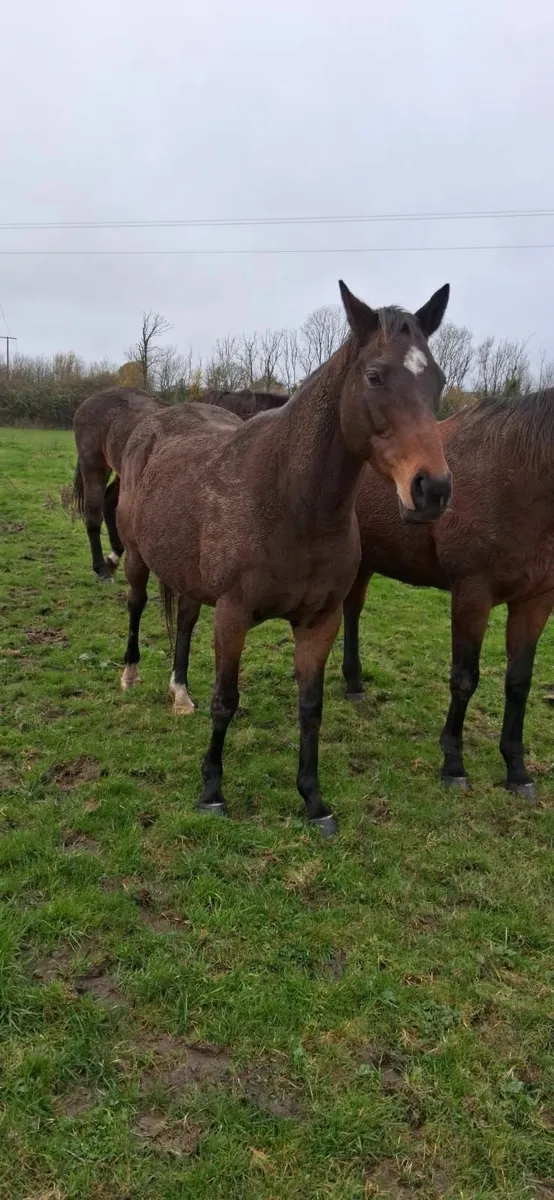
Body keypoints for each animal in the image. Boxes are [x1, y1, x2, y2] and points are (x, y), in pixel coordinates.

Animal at [72, 386, 288, 579]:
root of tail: (89, 401)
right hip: (94, 466)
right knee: (93, 515)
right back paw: (101, 568)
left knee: (109, 502)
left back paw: (114, 557)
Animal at [115, 279, 452, 835]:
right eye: (375, 376)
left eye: (438, 381)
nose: (432, 490)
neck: (290, 502)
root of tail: (153, 422)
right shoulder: (232, 616)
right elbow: (226, 701)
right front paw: (211, 792)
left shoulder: (320, 621)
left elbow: (311, 708)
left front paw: (313, 800)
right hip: (138, 559)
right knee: (137, 605)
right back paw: (129, 674)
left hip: (189, 576)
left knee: (184, 621)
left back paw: (179, 692)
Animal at [341, 387, 554, 803]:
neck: (519, 478)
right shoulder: (472, 593)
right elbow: (464, 678)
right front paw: (453, 764)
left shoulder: (536, 601)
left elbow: (519, 682)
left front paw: (517, 771)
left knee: (352, 611)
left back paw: (354, 684)